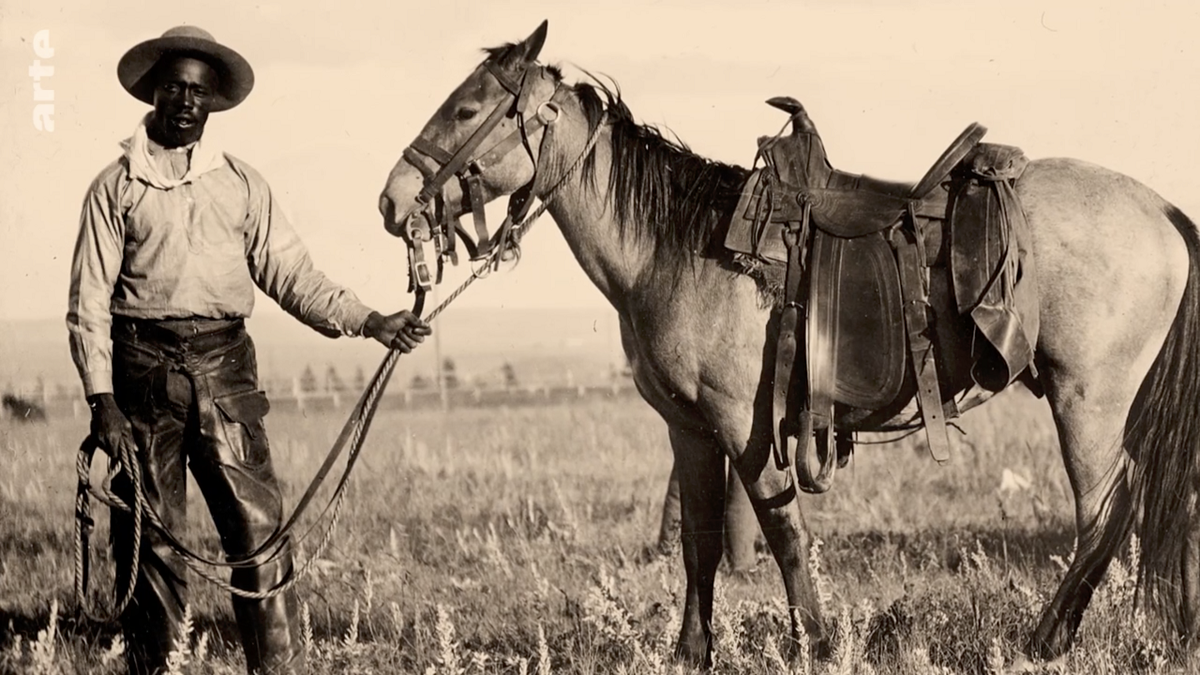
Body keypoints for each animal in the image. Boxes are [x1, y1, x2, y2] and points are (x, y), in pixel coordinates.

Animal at [379, 19, 1200, 662]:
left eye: (467, 107)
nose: (392, 201)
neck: (672, 246)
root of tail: (1161, 209)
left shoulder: (743, 421)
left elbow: (782, 532)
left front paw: (817, 641)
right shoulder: (688, 427)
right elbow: (700, 536)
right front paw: (691, 652)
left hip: (1087, 398)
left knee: (1104, 510)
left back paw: (1044, 640)